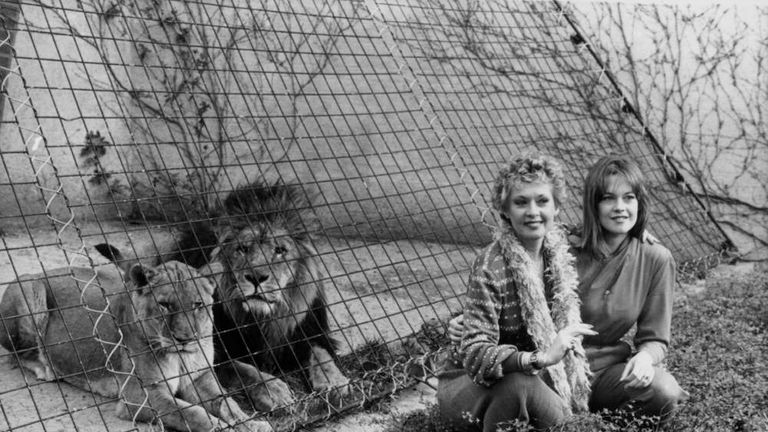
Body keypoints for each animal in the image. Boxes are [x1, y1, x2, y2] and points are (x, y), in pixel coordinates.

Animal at [0, 255, 270, 430]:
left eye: (197, 304)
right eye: (164, 305)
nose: (184, 339)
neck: (179, 356)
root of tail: (37, 272)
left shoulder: (200, 378)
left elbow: (227, 402)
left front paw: (253, 423)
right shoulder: (140, 396)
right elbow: (194, 414)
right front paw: (221, 426)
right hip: (30, 292)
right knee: (18, 354)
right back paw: (48, 368)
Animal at [96, 179, 352, 412]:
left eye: (280, 250)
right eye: (243, 249)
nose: (256, 277)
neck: (259, 319)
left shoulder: (308, 331)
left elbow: (320, 353)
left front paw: (334, 381)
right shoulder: (213, 350)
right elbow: (244, 369)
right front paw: (273, 390)